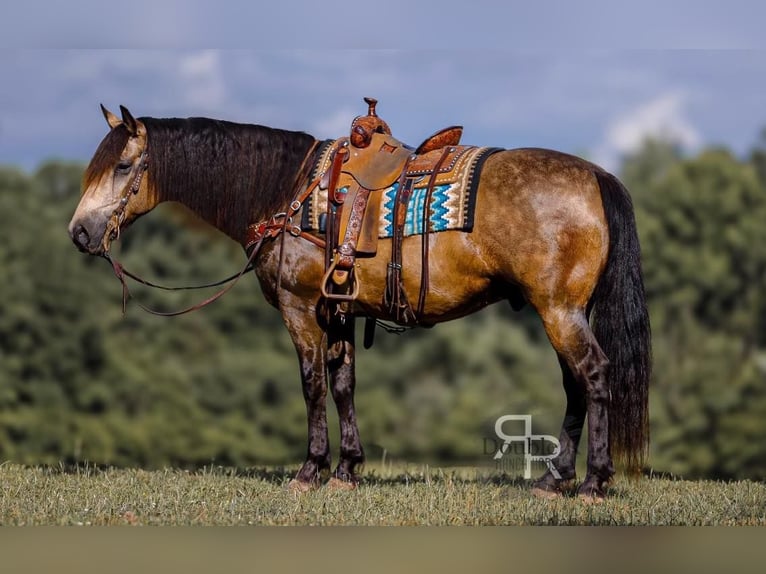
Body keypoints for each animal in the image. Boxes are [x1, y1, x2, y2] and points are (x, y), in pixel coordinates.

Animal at [69, 101, 652, 502]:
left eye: (123, 166)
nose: (79, 232)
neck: (287, 192)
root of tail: (595, 174)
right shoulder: (339, 310)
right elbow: (343, 383)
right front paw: (347, 469)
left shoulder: (301, 308)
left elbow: (311, 384)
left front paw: (311, 470)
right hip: (565, 310)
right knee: (575, 385)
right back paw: (556, 479)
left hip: (559, 310)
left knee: (594, 374)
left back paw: (594, 482)